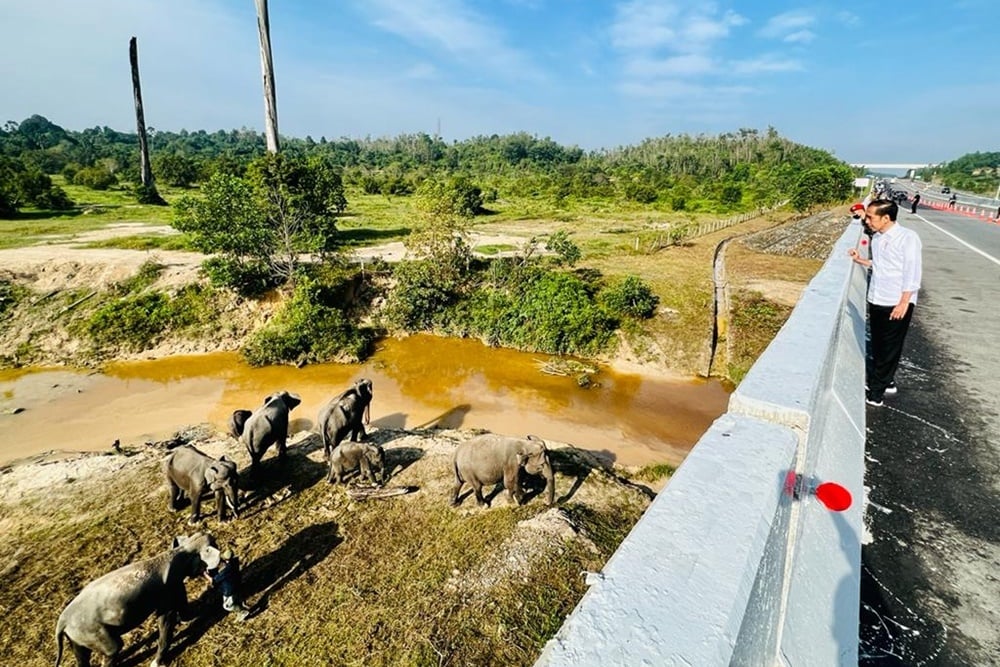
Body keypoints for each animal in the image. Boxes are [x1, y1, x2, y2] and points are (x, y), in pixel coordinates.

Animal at [53, 532, 222, 667]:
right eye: (214, 545)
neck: (180, 550)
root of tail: (62, 622)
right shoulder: (167, 591)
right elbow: (166, 622)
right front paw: (156, 664)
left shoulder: (176, 586)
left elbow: (185, 611)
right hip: (92, 631)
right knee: (113, 649)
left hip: (77, 637)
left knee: (82, 656)